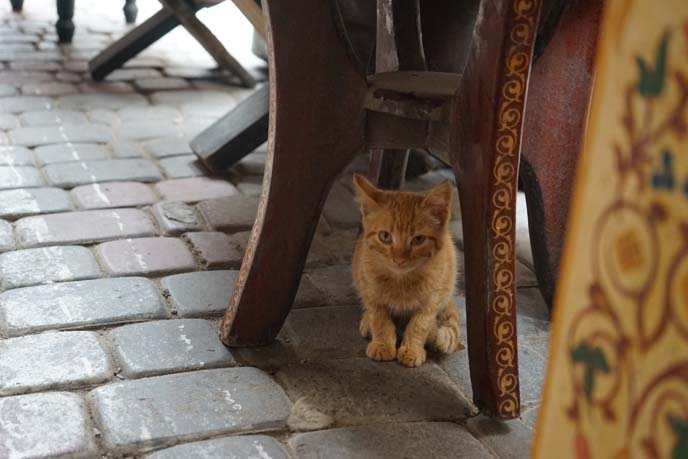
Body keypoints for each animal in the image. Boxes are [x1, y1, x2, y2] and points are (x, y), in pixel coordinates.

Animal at [350, 174, 462, 368]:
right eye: (385, 236)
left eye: (418, 239)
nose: (399, 260)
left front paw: (412, 349)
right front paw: (382, 344)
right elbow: (379, 318)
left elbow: (420, 324)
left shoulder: (433, 298)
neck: (401, 280)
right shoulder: (369, 288)